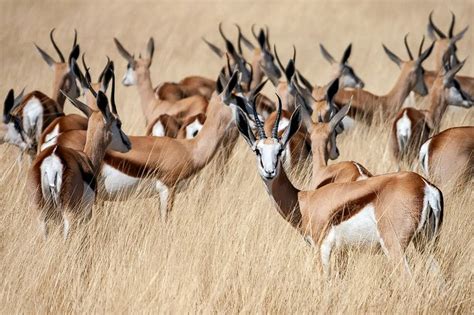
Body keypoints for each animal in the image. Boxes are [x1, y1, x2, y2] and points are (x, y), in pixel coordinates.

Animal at [28, 90, 131, 239]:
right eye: (119, 124)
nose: (128, 143)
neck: (86, 157)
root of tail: (52, 162)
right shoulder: (87, 214)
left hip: (41, 215)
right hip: (68, 215)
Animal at [237, 96, 444, 276]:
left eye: (279, 150)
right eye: (257, 150)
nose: (270, 172)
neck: (304, 201)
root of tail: (425, 186)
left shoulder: (322, 249)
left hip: (394, 247)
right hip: (425, 244)